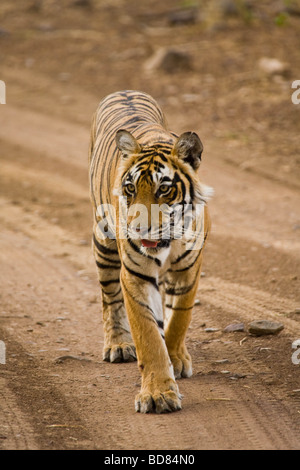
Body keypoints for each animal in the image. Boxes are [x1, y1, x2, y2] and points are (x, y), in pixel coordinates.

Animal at [88, 90, 212, 414]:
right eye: (130, 188)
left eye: (164, 190)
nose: (138, 229)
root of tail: (125, 90)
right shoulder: (136, 275)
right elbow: (148, 336)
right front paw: (157, 394)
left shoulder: (188, 271)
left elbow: (179, 318)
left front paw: (176, 358)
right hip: (103, 240)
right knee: (110, 298)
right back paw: (118, 345)